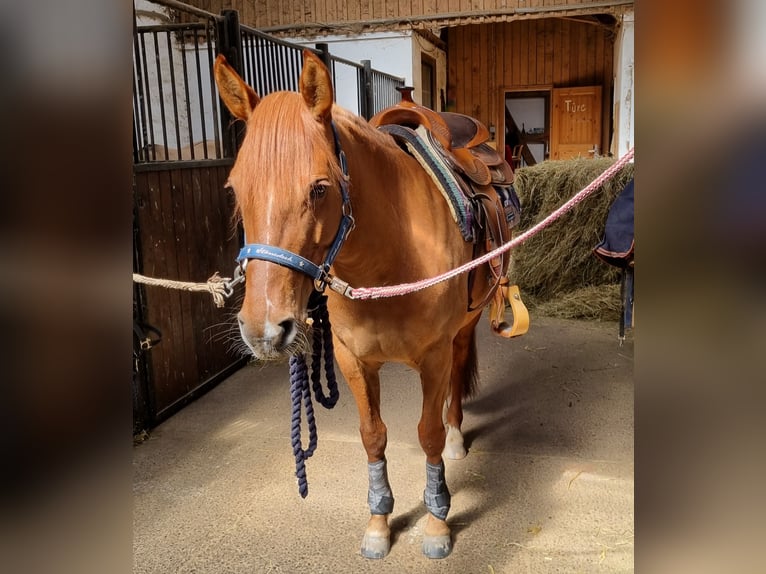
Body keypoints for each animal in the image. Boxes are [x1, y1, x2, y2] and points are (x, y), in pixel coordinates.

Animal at [214, 49, 513, 559]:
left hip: (464, 328)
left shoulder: (432, 359)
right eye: (235, 188)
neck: (387, 261)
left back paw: (457, 437)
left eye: (319, 188)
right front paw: (378, 523)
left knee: (457, 374)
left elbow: (427, 434)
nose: (264, 331)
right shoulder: (352, 360)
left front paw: (437, 521)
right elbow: (373, 436)